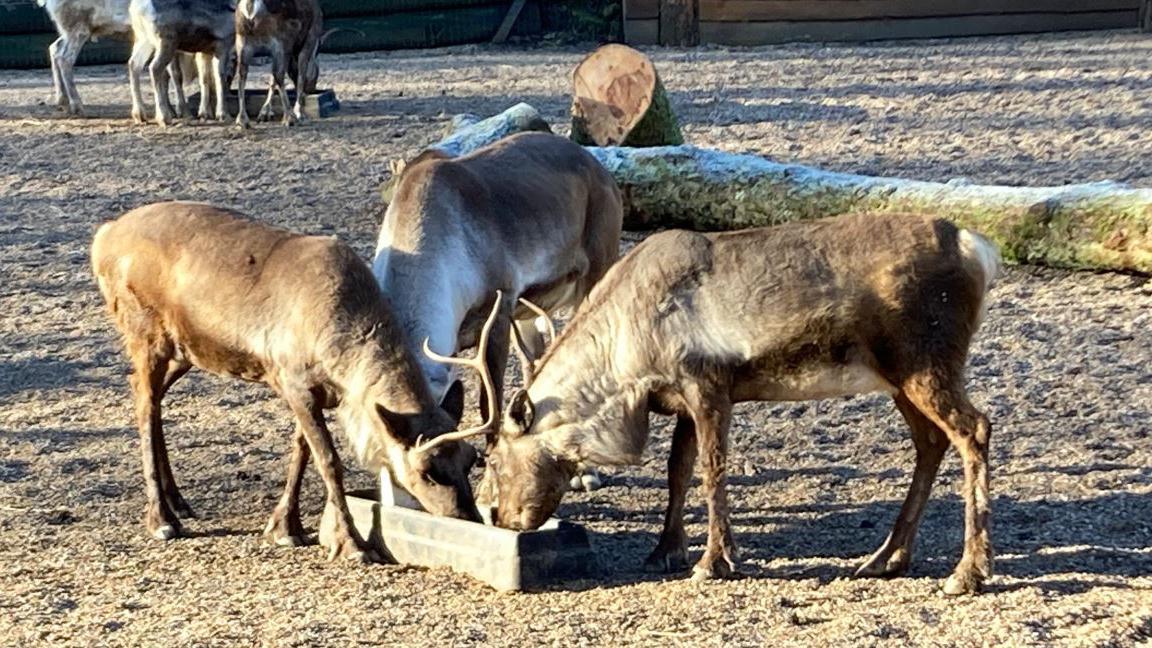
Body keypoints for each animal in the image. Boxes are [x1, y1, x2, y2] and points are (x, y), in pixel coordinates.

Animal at [92, 201, 483, 560]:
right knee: (144, 402)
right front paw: (351, 543)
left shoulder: (312, 390)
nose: (469, 517)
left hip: (186, 349)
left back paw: (179, 501)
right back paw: (162, 519)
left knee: (148, 394)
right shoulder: (294, 379)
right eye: (428, 471)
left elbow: (302, 450)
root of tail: (103, 238)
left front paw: (285, 526)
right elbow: (328, 460)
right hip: (145, 331)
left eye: (471, 458)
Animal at [421, 213, 999, 594]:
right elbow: (677, 472)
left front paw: (714, 560)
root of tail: (977, 248)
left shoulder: (709, 387)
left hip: (926, 363)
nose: (497, 516)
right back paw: (886, 558)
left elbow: (711, 472)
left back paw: (968, 572)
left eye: (494, 458)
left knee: (974, 430)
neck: (626, 360)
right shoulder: (678, 399)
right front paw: (665, 550)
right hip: (899, 380)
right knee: (931, 443)